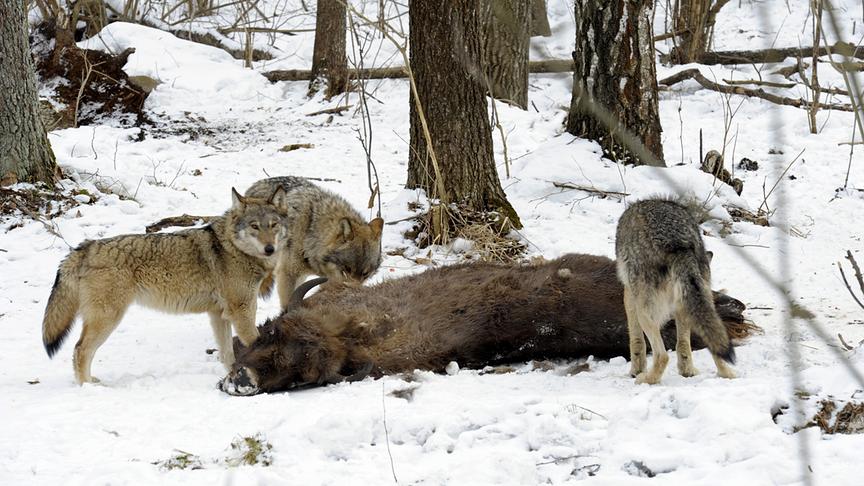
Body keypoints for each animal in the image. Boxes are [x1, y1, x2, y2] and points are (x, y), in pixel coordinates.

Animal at [42, 187, 288, 384]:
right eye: (254, 226)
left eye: (273, 225)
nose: (270, 249)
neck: (232, 248)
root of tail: (86, 246)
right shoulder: (242, 311)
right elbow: (255, 342)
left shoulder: (218, 314)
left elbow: (227, 354)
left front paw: (233, 375)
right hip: (108, 319)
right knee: (80, 350)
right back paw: (87, 386)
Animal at [244, 176, 384, 310]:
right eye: (347, 270)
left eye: (365, 274)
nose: (353, 293)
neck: (310, 232)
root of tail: (255, 185)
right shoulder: (288, 274)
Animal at [615, 198, 736, 385]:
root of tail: (678, 242)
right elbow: (683, 344)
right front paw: (687, 372)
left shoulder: (628, 294)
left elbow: (636, 340)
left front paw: (636, 371)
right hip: (699, 303)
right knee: (711, 346)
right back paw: (724, 374)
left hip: (645, 312)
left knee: (662, 356)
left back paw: (645, 379)